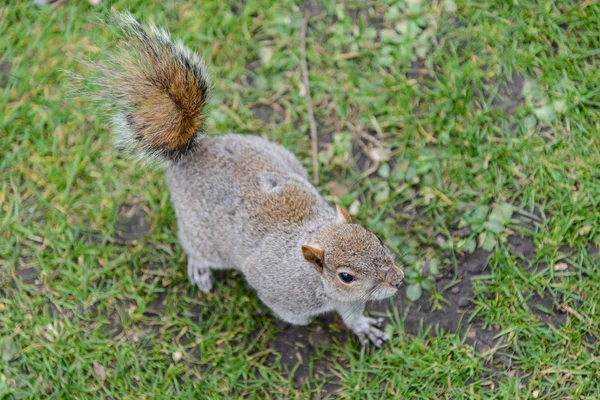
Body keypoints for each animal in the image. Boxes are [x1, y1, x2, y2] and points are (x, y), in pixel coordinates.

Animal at [89, 13, 406, 346]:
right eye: (346, 276)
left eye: (375, 238)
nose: (398, 279)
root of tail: (195, 152)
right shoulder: (276, 285)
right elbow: (296, 314)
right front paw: (307, 322)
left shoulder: (351, 301)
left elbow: (353, 316)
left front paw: (364, 328)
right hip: (203, 237)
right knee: (192, 248)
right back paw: (199, 269)